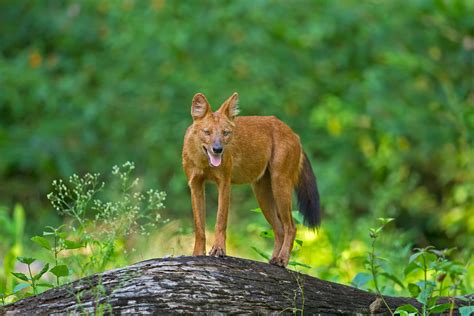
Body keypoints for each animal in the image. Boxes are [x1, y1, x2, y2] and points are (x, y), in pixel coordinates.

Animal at [183, 92, 320, 266]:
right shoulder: (195, 185)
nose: (218, 149)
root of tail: (294, 133)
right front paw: (197, 254)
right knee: (279, 229)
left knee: (291, 226)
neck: (203, 162)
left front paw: (219, 250)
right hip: (262, 195)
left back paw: (282, 259)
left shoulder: (224, 183)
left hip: (280, 185)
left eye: (225, 133)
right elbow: (199, 226)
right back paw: (272, 260)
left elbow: (221, 220)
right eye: (207, 132)